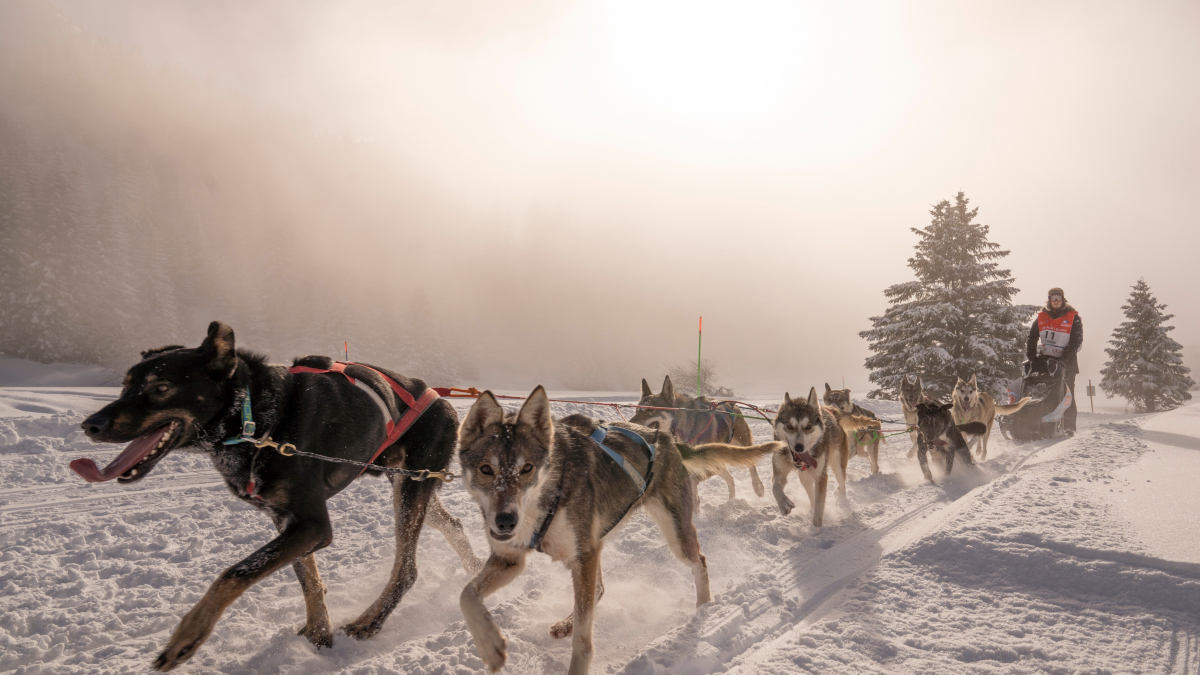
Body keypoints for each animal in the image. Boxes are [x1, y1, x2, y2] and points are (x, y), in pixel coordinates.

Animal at [71, 319, 477, 667]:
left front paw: (187, 637)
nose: (91, 425)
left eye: (160, 388)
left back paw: (370, 621)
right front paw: (318, 635)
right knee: (453, 525)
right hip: (408, 484)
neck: (256, 420)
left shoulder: (312, 524)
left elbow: (232, 575)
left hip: (410, 489)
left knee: (406, 569)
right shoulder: (286, 520)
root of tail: (441, 399)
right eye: (125, 386)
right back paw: (476, 573)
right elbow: (309, 580)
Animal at [456, 386, 777, 667]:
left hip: (673, 534)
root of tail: (665, 437)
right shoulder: (510, 559)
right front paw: (489, 643)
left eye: (527, 468)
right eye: (486, 469)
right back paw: (567, 623)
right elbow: (466, 595)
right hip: (594, 547)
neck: (546, 492)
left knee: (699, 561)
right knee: (597, 590)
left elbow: (584, 643)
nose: (505, 520)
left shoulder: (582, 554)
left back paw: (704, 609)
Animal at [633, 372, 763, 499]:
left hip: (739, 447)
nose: (630, 423)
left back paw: (758, 487)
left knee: (751, 464)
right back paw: (731, 502)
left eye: (651, 410)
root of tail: (732, 404)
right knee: (730, 479)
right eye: (637, 411)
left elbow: (692, 481)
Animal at [772, 389, 878, 526]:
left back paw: (842, 503)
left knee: (842, 484)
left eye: (808, 426)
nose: (799, 447)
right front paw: (783, 503)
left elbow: (819, 507)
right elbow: (775, 488)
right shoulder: (780, 472)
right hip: (804, 476)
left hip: (838, 465)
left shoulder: (820, 476)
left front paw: (816, 528)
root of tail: (832, 410)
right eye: (789, 426)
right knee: (810, 491)